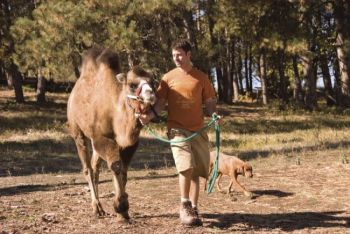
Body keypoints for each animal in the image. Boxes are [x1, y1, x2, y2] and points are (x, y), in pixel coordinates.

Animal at [67, 46, 156, 222]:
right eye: (132, 85)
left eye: (152, 82)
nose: (150, 95)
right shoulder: (102, 138)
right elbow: (116, 166)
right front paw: (120, 207)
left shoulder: (130, 143)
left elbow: (124, 170)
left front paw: (123, 211)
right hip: (78, 131)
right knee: (88, 168)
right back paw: (96, 208)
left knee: (95, 167)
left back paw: (100, 207)